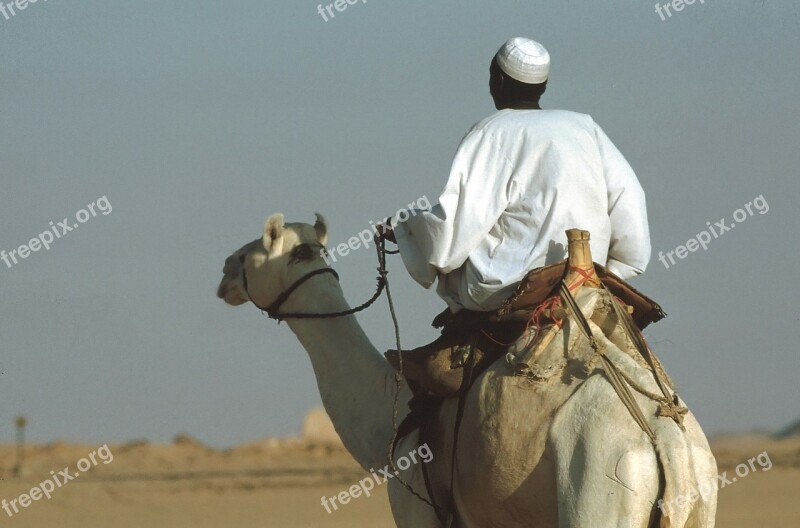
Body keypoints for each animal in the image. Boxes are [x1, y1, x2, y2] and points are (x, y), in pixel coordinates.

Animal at [216, 214, 716, 528]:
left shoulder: (419, 511)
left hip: (601, 493)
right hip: (699, 501)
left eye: (252, 253)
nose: (223, 272)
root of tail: (667, 439)